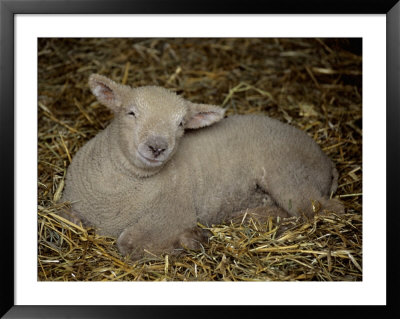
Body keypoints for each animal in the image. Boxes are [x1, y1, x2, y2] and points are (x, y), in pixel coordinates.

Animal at [61, 74, 344, 262]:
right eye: (131, 113)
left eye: (181, 124)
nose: (157, 147)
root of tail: (326, 159)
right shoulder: (65, 204)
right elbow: (67, 217)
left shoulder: (173, 214)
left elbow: (127, 244)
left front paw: (192, 240)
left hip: (289, 173)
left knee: (322, 210)